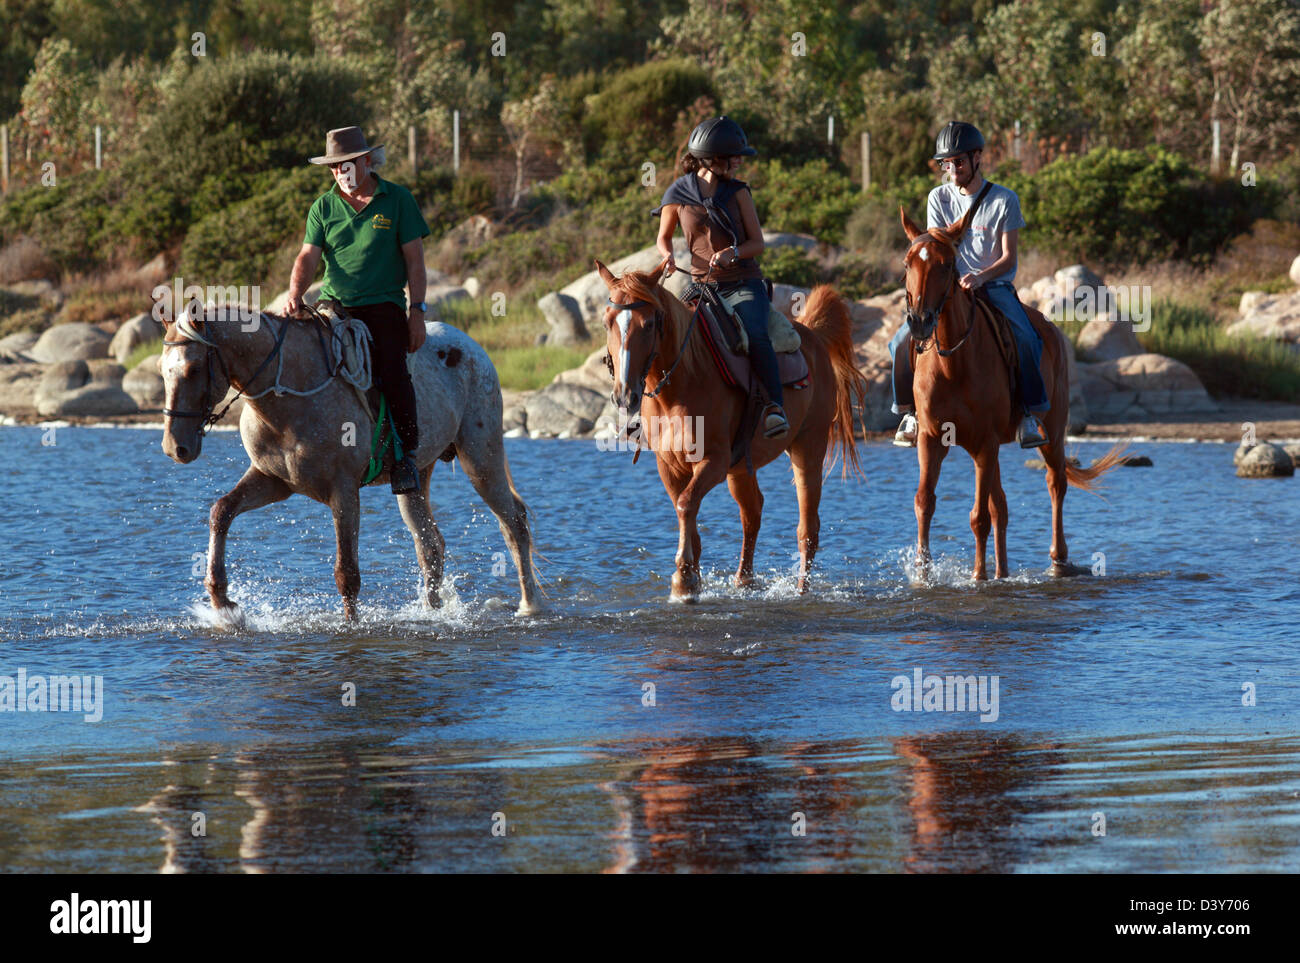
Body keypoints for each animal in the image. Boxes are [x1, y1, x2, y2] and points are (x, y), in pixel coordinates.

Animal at [159, 308, 540, 623]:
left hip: (481, 460)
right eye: (164, 371)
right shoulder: (273, 481)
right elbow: (221, 511)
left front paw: (351, 627)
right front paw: (221, 600)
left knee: (513, 523)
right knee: (430, 544)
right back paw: (434, 611)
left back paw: (529, 604)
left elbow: (347, 573)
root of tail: (471, 346)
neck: (289, 396)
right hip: (416, 478)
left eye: (193, 369)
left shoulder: (343, 491)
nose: (175, 447)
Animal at [595, 257, 863, 600]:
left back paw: (801, 589)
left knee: (808, 528)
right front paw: (691, 577)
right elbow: (687, 514)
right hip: (741, 467)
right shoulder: (669, 465)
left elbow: (686, 505)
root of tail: (813, 337)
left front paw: (683, 581)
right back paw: (743, 581)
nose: (624, 395)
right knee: (752, 512)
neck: (682, 384)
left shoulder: (715, 461)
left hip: (808, 448)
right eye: (607, 324)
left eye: (650, 324)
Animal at [899, 205, 1123, 579]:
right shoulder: (932, 439)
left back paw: (1057, 560)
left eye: (946, 264)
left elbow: (978, 517)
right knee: (1000, 506)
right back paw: (1002, 572)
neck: (953, 362)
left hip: (1051, 432)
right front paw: (923, 575)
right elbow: (924, 503)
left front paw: (978, 578)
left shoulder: (985, 443)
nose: (919, 321)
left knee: (1055, 484)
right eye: (907, 263)